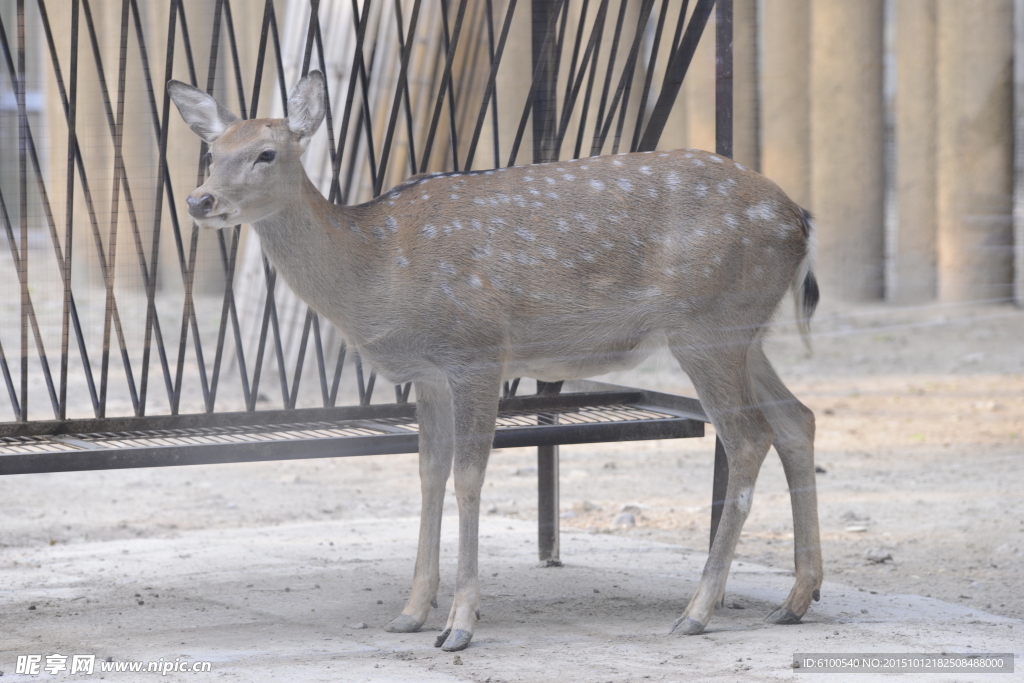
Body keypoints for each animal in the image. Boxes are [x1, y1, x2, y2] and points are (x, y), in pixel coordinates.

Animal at [167, 70, 823, 651]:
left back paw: (696, 613)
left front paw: (458, 625)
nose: (200, 199)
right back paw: (795, 600)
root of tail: (801, 219)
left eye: (266, 153)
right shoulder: (428, 375)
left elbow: (468, 476)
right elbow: (428, 473)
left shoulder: (476, 350)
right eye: (212, 151)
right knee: (798, 418)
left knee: (748, 438)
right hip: (746, 335)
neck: (375, 267)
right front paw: (410, 613)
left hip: (707, 325)